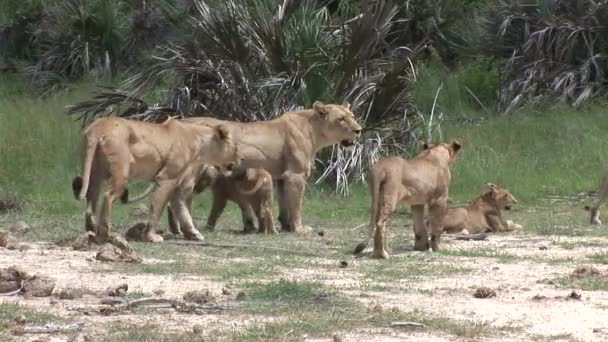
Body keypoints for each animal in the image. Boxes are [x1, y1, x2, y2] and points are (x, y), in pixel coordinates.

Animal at [72, 117, 239, 243]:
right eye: (235, 149)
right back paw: (105, 233)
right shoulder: (166, 179)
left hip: (94, 174)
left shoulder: (177, 187)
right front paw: (151, 237)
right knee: (108, 196)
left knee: (91, 199)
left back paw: (91, 229)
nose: (234, 164)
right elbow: (157, 209)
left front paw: (193, 233)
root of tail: (98, 126)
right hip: (121, 173)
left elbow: (183, 211)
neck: (201, 144)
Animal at [166, 101, 364, 234]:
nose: (359, 130)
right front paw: (299, 228)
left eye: (353, 117)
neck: (314, 131)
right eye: (341, 119)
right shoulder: (296, 174)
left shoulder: (282, 177)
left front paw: (286, 226)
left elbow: (285, 204)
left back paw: (177, 230)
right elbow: (297, 204)